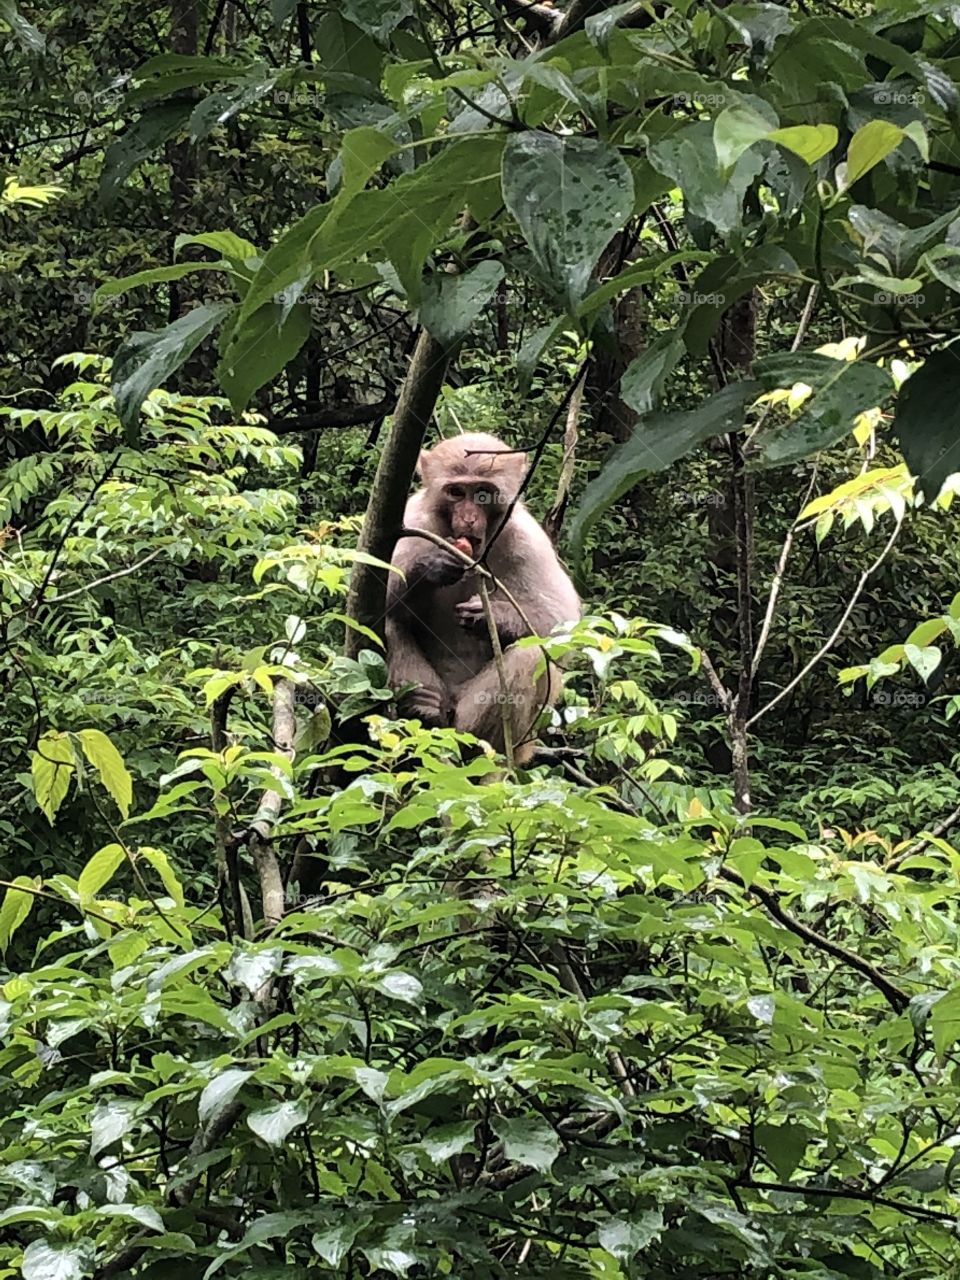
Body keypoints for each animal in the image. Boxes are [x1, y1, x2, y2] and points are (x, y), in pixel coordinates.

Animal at [386, 432, 581, 762]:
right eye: (456, 492)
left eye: (483, 494)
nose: (468, 519)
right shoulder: (414, 521)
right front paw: (431, 566)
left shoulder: (525, 539)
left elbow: (562, 624)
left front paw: (492, 617)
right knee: (387, 621)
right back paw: (423, 708)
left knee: (531, 655)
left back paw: (477, 749)